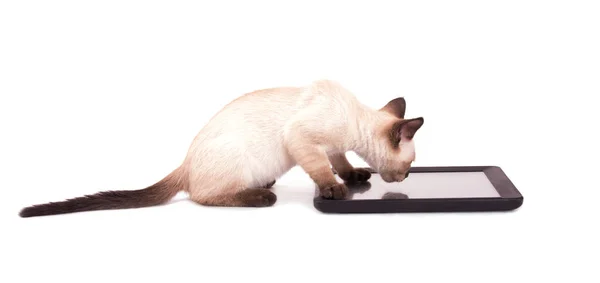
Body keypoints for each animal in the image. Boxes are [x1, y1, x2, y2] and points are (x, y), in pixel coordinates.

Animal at [17, 79, 422, 219]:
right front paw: (335, 190)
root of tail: (184, 162)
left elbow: (340, 162)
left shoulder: (330, 146)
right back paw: (261, 195)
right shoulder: (303, 139)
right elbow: (323, 169)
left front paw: (354, 177)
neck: (353, 120)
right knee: (204, 196)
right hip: (237, 159)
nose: (405, 178)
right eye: (409, 166)